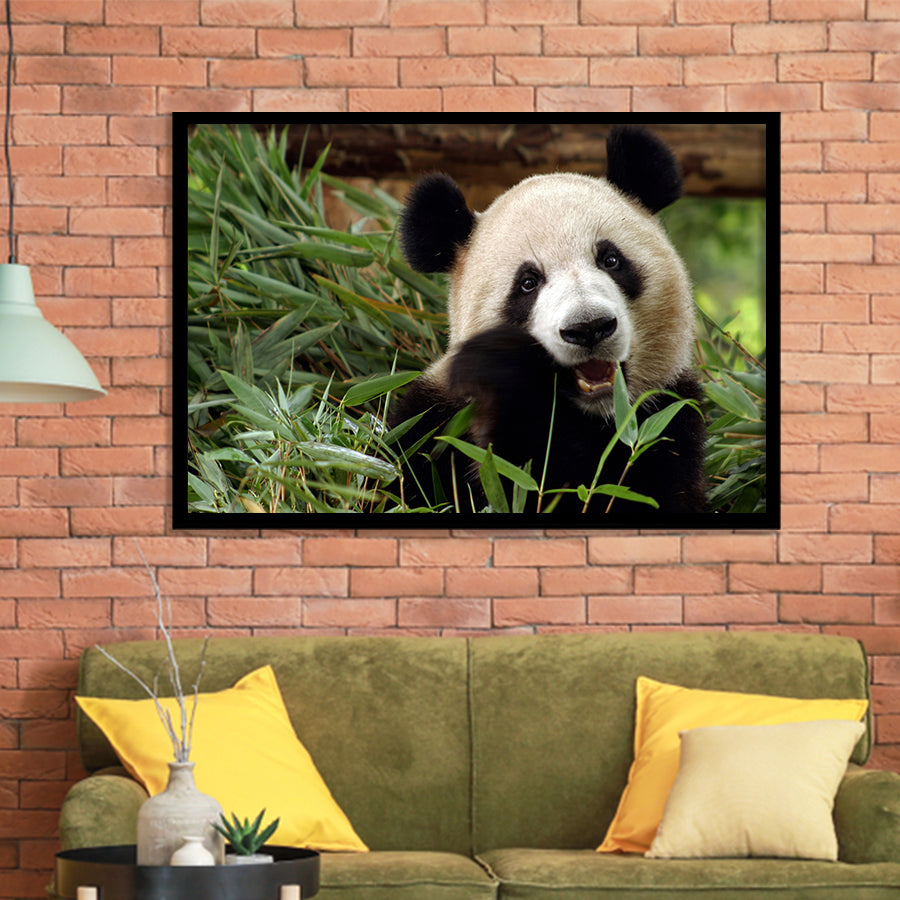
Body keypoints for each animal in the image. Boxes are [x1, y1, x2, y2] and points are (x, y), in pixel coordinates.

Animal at [390, 125, 707, 516]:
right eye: (528, 283)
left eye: (611, 260)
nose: (589, 328)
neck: (593, 417)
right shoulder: (433, 425)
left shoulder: (668, 419)